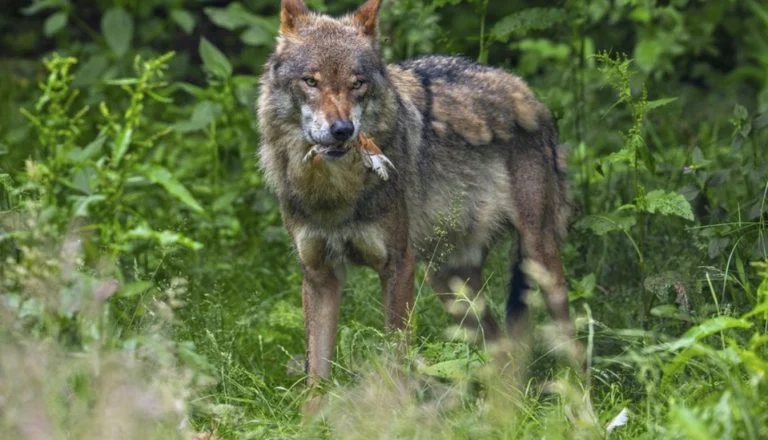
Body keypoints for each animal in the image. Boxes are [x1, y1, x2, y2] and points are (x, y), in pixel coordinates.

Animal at [257, 0, 573, 391]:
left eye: (357, 84)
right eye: (310, 81)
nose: (343, 130)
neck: (334, 195)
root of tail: (529, 94)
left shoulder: (398, 266)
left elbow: (395, 361)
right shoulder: (319, 275)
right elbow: (317, 375)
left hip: (537, 257)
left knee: (573, 343)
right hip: (449, 283)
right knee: (501, 349)